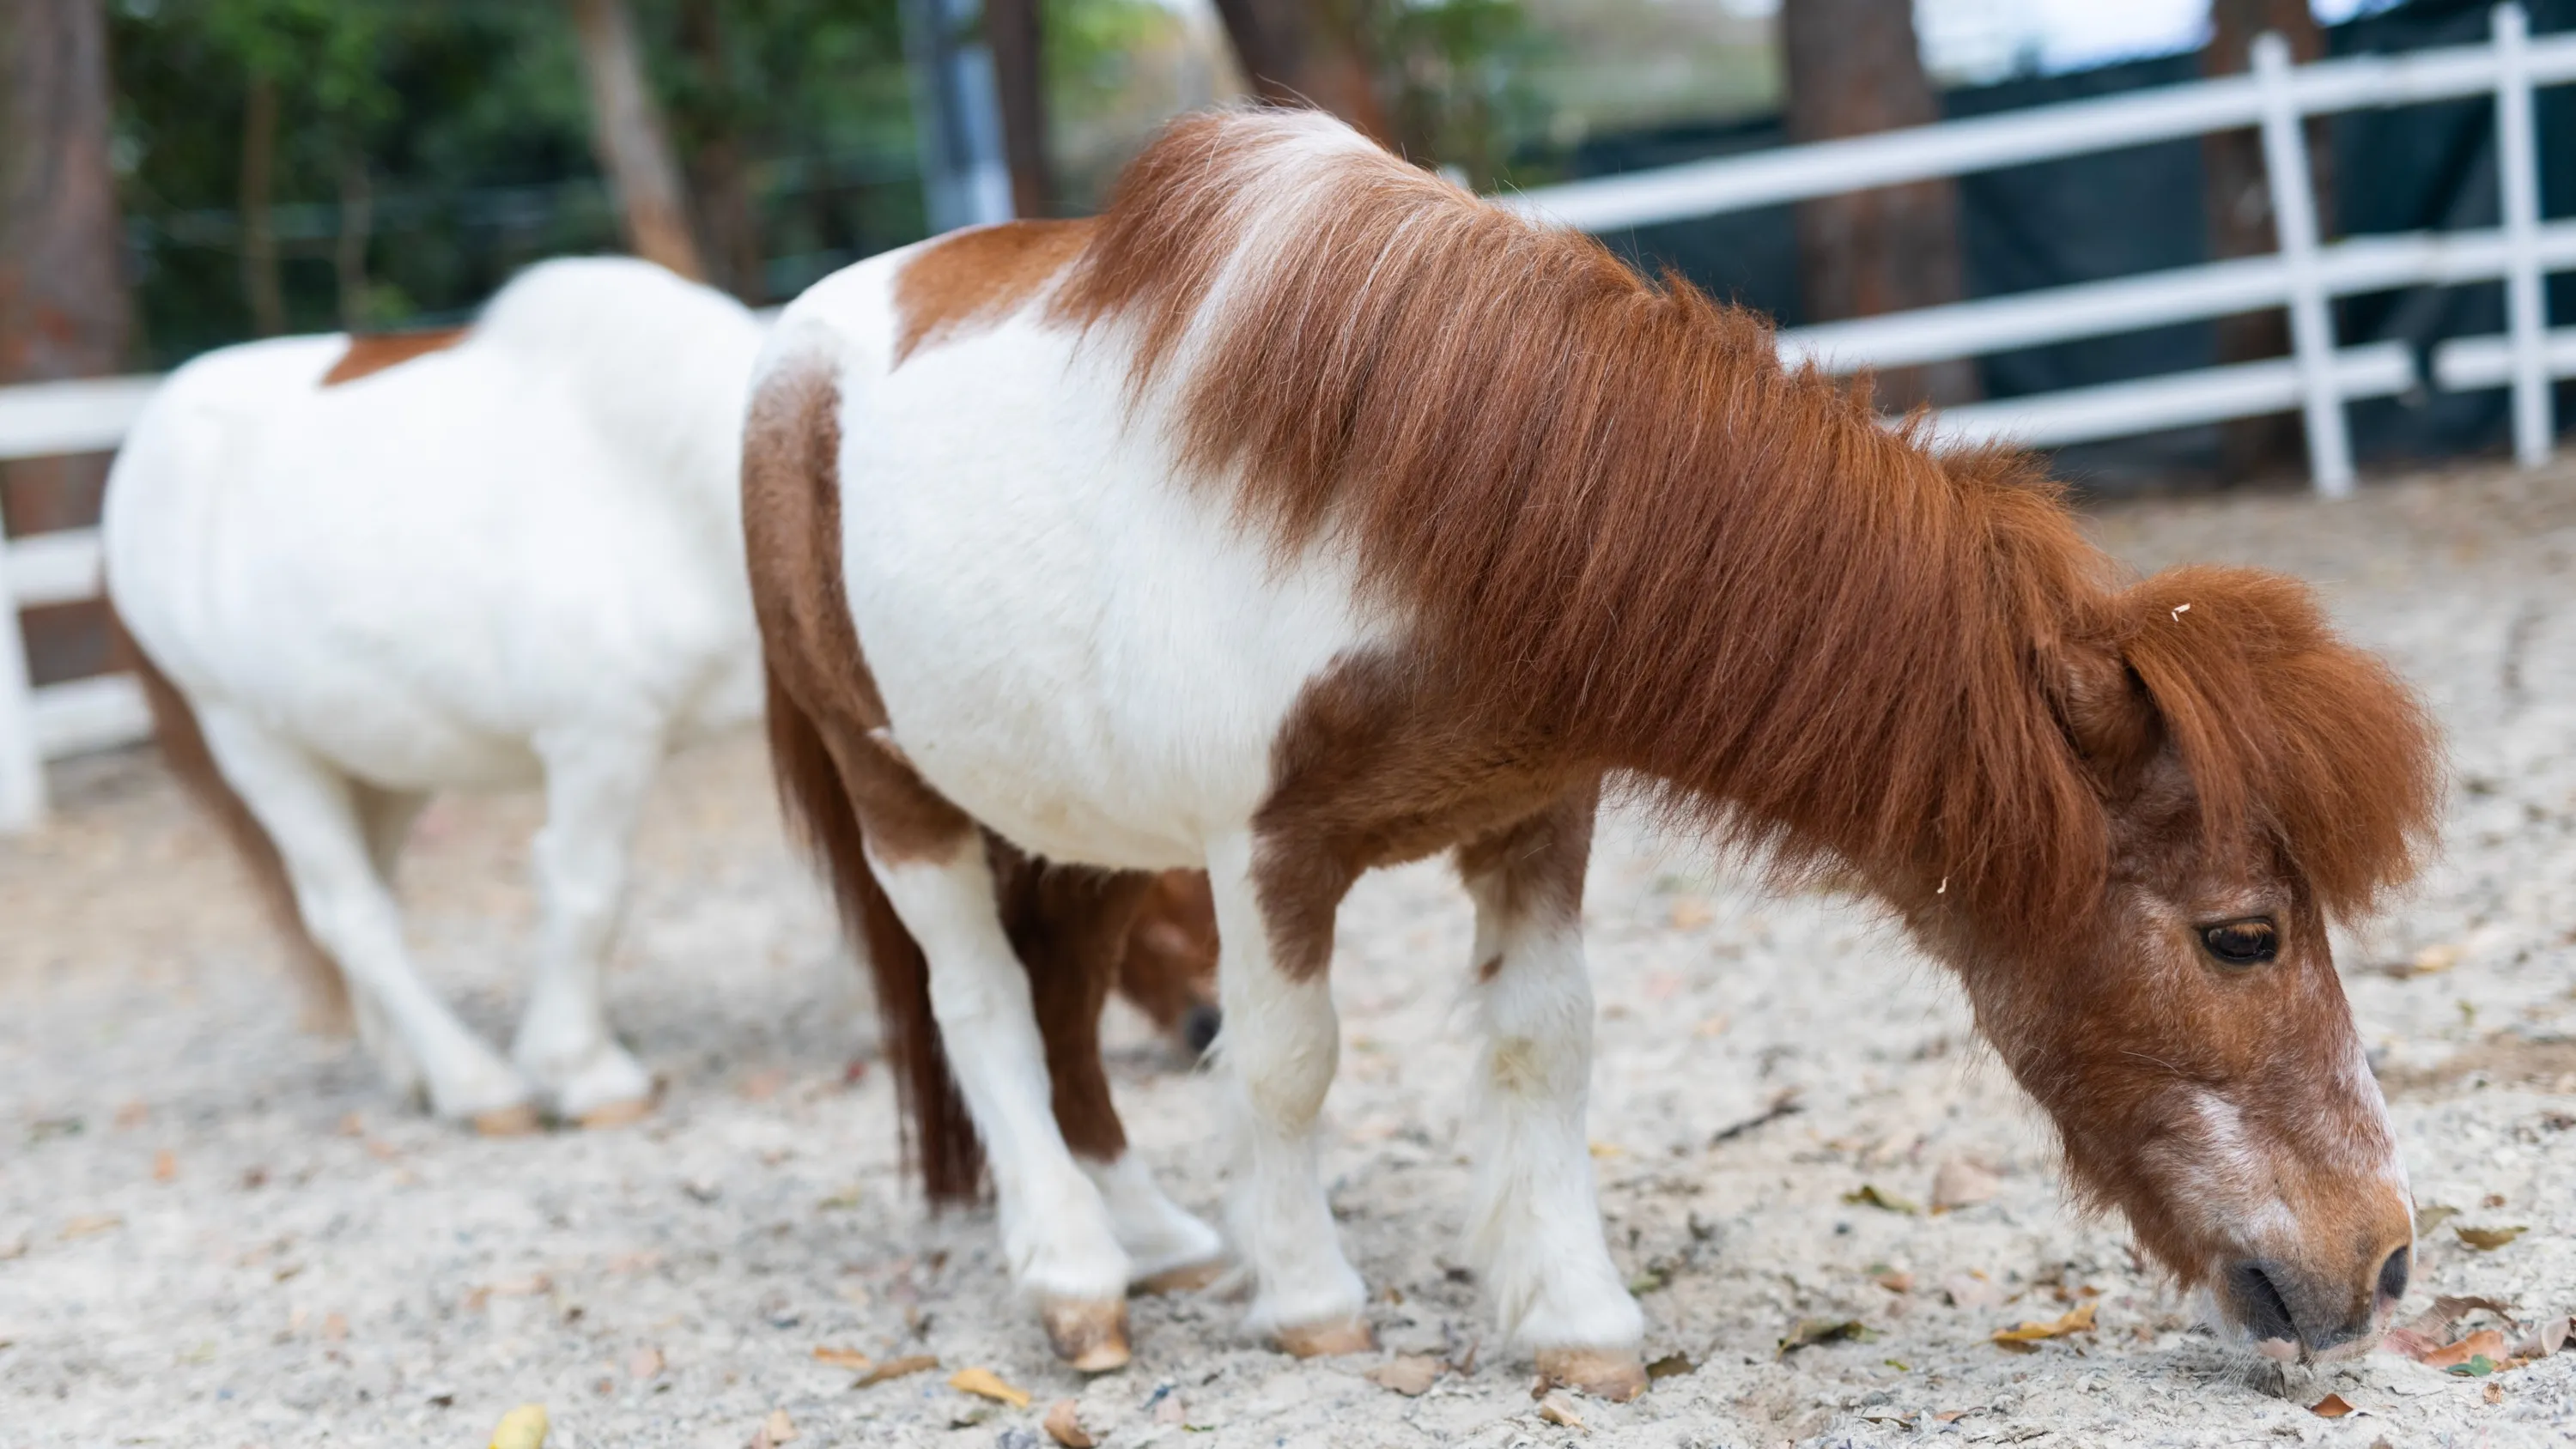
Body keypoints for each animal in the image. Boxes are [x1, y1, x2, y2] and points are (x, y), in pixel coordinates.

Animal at [103, 257, 1226, 1145]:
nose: (1213, 1022)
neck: (671, 485)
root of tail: (143, 443)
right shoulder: (599, 740)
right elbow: (589, 890)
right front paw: (580, 1069)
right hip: (254, 740)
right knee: (355, 914)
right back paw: (474, 1084)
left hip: (374, 758)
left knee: (357, 903)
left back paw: (414, 1070)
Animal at [743, 108, 2441, 1393]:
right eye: (2242, 935)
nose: (2382, 1262)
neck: (1414, 500)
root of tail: (793, 350)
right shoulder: (1265, 846)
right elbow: (1289, 1064)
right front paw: (1315, 1304)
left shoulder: (1537, 814)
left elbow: (1542, 1045)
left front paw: (1571, 1319)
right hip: (905, 800)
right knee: (981, 1007)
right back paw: (1079, 1276)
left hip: (1085, 823)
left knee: (1065, 998)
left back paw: (1157, 1236)